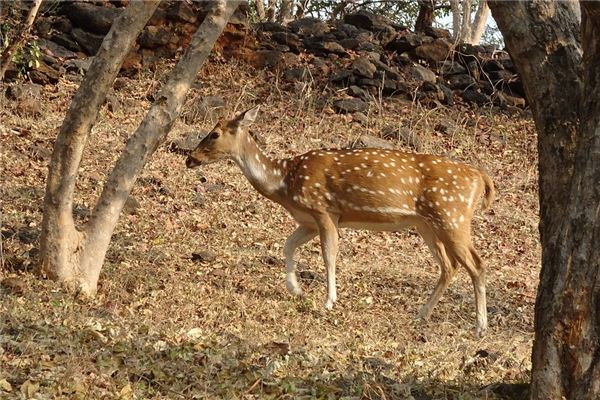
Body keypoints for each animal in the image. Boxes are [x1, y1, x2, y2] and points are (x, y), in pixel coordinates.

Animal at [185, 107, 494, 338]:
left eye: (214, 134)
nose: (189, 158)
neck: (284, 182)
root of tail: (481, 177)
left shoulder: (324, 211)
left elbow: (329, 256)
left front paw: (328, 302)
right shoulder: (308, 220)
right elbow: (287, 245)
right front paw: (296, 289)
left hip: (452, 216)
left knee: (477, 264)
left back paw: (480, 327)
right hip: (426, 224)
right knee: (450, 265)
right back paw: (422, 314)